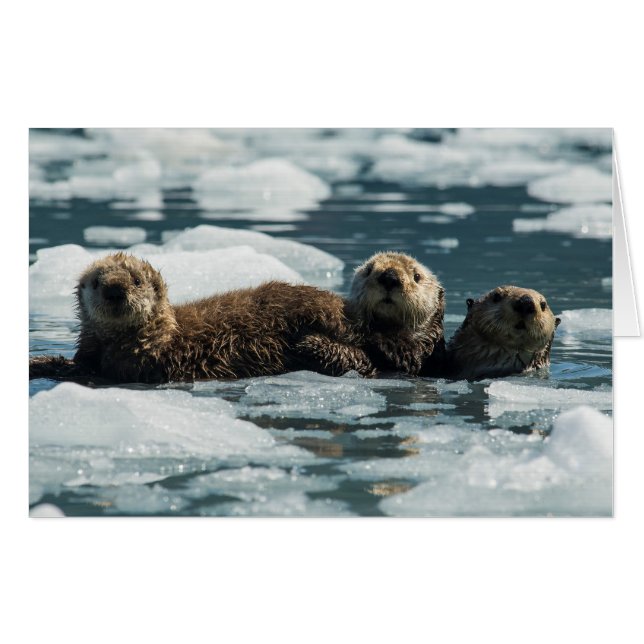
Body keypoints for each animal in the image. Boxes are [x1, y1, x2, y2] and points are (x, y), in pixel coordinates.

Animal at [29, 252, 376, 384]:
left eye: (137, 281)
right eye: (98, 283)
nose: (115, 290)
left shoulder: (134, 363)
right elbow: (77, 364)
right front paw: (39, 363)